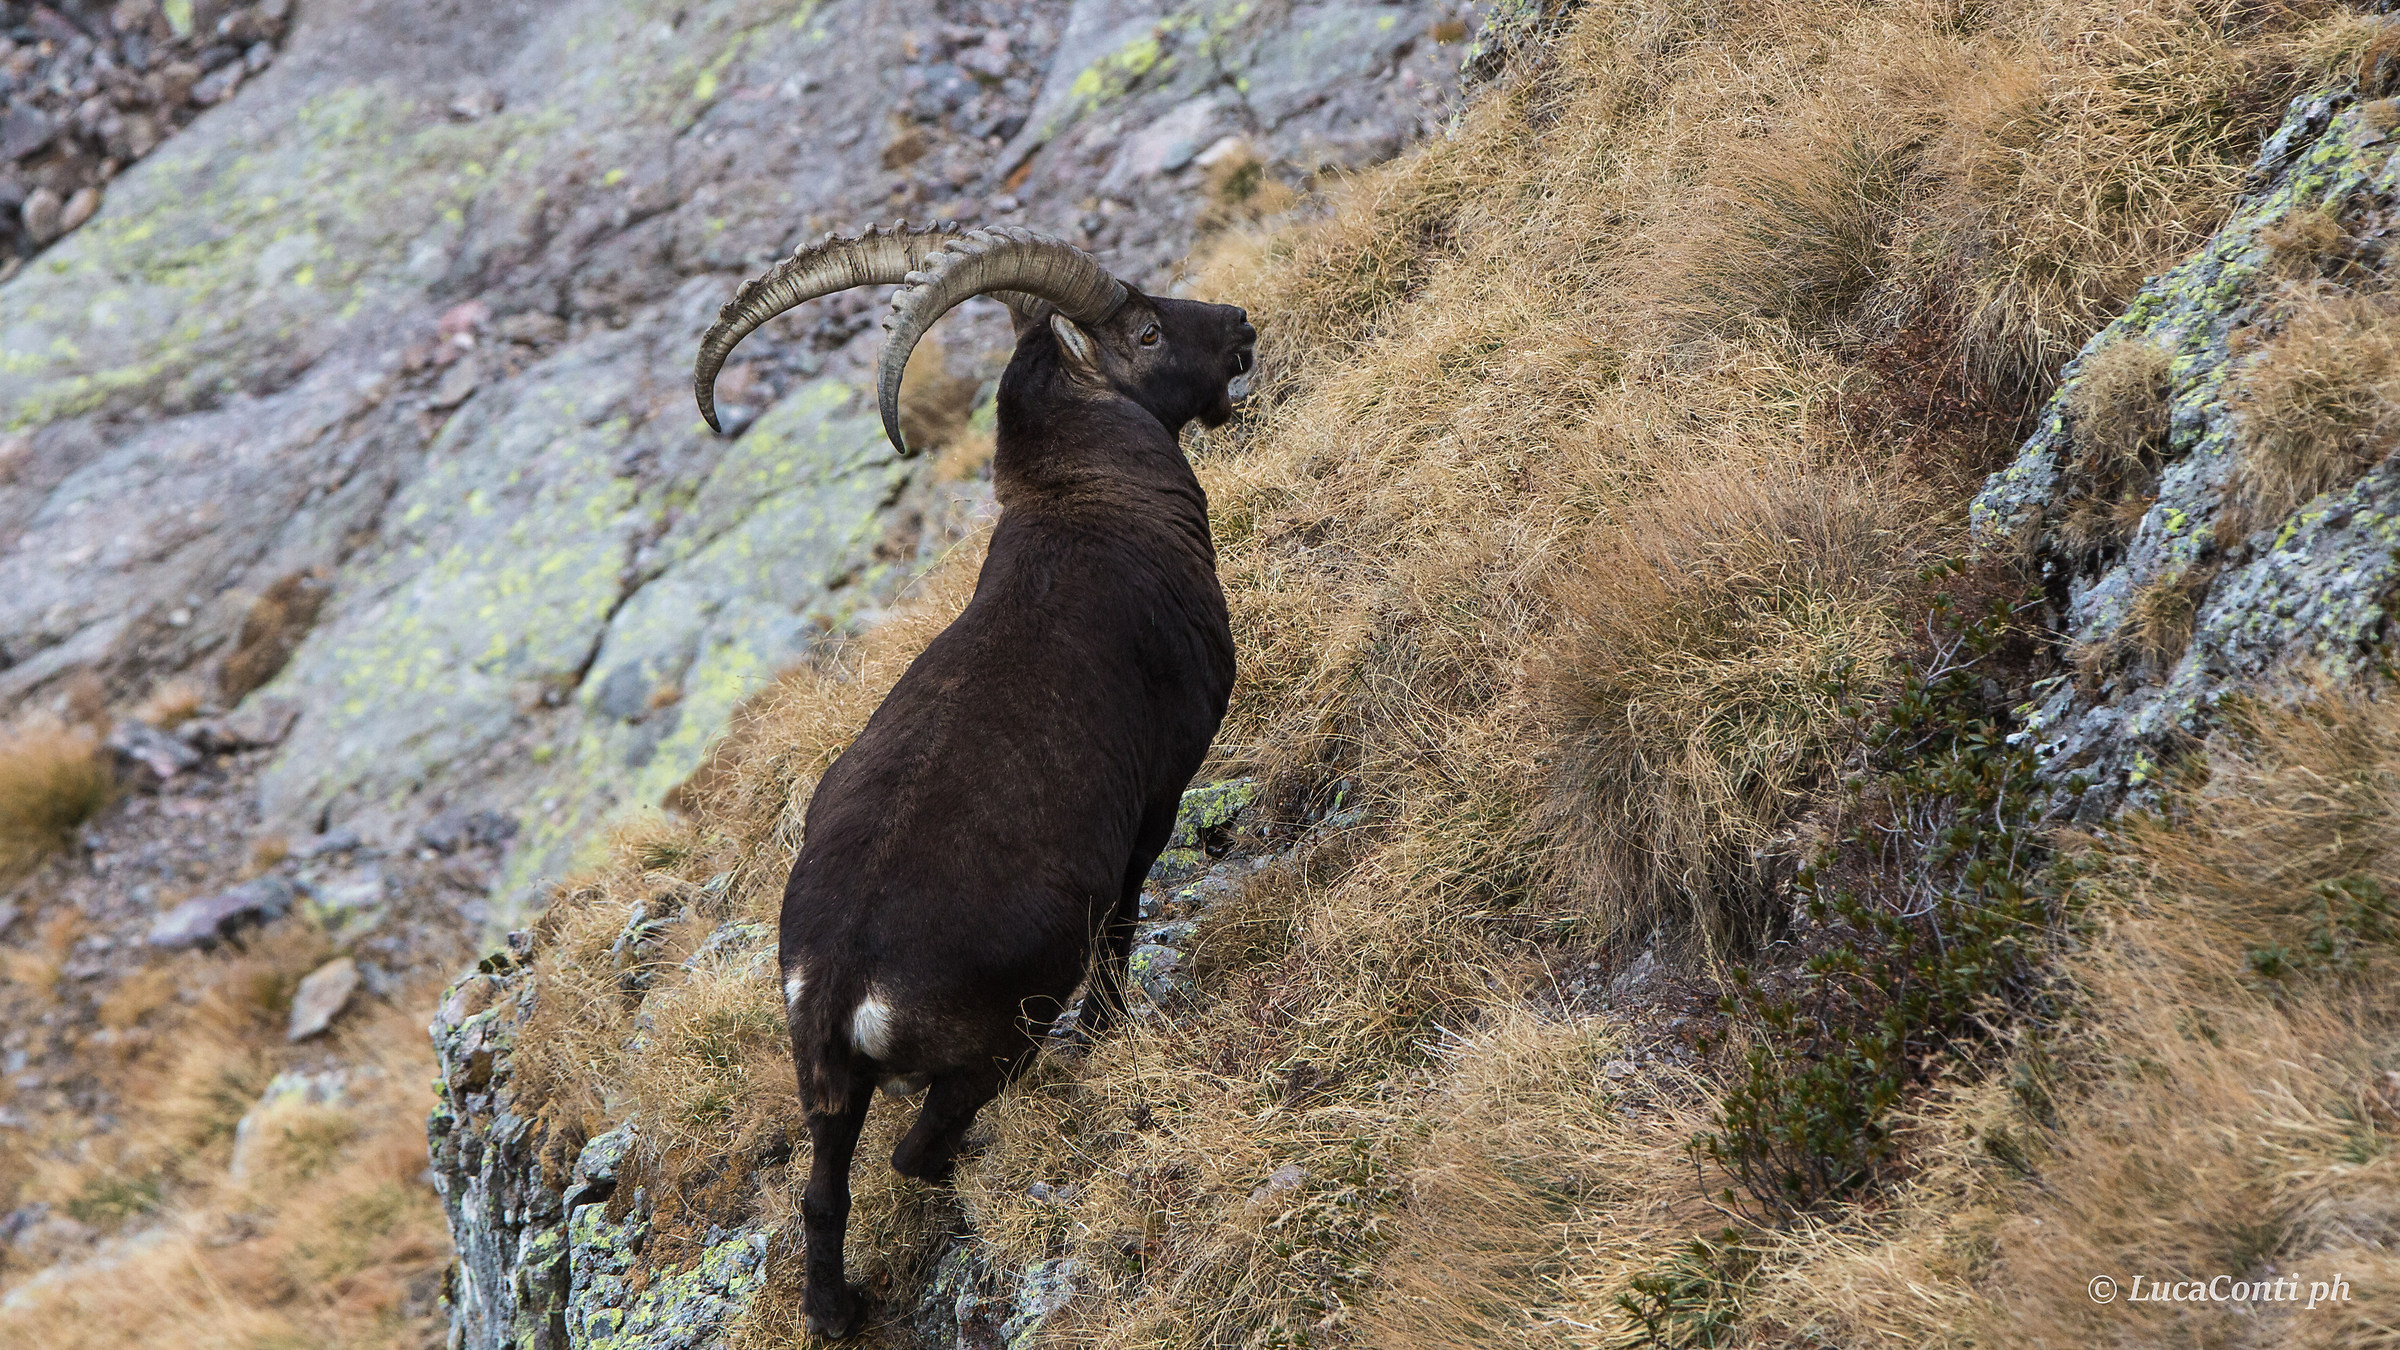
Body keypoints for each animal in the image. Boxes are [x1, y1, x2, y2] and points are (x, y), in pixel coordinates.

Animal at [694, 222, 1256, 1339]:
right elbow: (1126, 913)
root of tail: (843, 981)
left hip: (825, 1082)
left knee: (824, 1192)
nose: (1241, 326)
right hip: (1000, 1028)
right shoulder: (1158, 792)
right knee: (920, 1148)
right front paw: (1116, 1028)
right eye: (1145, 327)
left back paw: (839, 1312)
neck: (1088, 506)